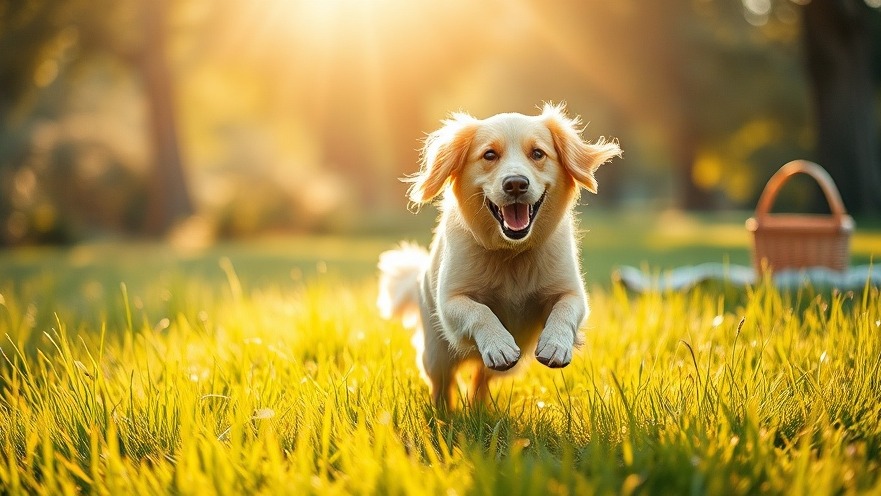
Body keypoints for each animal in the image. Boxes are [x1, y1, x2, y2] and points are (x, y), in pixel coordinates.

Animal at [376, 103, 620, 406]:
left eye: (538, 153)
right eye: (489, 155)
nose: (515, 184)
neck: (511, 253)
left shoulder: (571, 291)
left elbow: (565, 309)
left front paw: (555, 345)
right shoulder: (450, 300)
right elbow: (479, 311)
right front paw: (498, 343)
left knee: (481, 378)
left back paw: (479, 405)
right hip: (436, 353)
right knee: (442, 384)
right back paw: (444, 411)